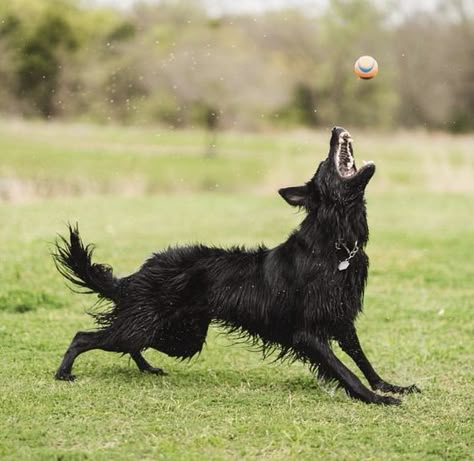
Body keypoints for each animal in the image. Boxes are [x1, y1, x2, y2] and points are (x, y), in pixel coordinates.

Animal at [53, 126, 420, 402]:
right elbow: (346, 371)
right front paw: (377, 399)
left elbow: (363, 361)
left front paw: (390, 386)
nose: (333, 129)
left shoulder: (342, 321)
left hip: (178, 335)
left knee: (128, 342)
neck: (336, 247)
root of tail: (138, 274)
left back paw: (147, 368)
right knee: (85, 336)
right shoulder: (308, 333)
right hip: (159, 328)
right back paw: (63, 373)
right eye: (324, 164)